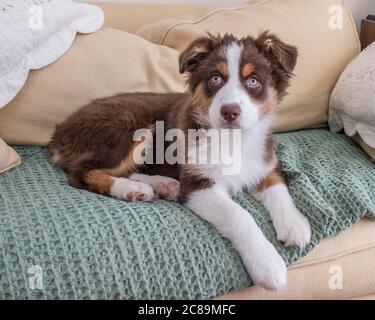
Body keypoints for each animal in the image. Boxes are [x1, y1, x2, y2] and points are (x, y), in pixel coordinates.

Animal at [48, 33, 312, 292]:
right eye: (215, 78)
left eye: (254, 81)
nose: (229, 112)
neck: (232, 141)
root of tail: (61, 130)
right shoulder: (197, 183)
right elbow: (239, 215)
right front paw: (268, 263)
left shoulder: (265, 164)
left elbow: (279, 188)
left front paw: (295, 225)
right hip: (131, 120)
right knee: (81, 172)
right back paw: (131, 189)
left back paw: (161, 185)